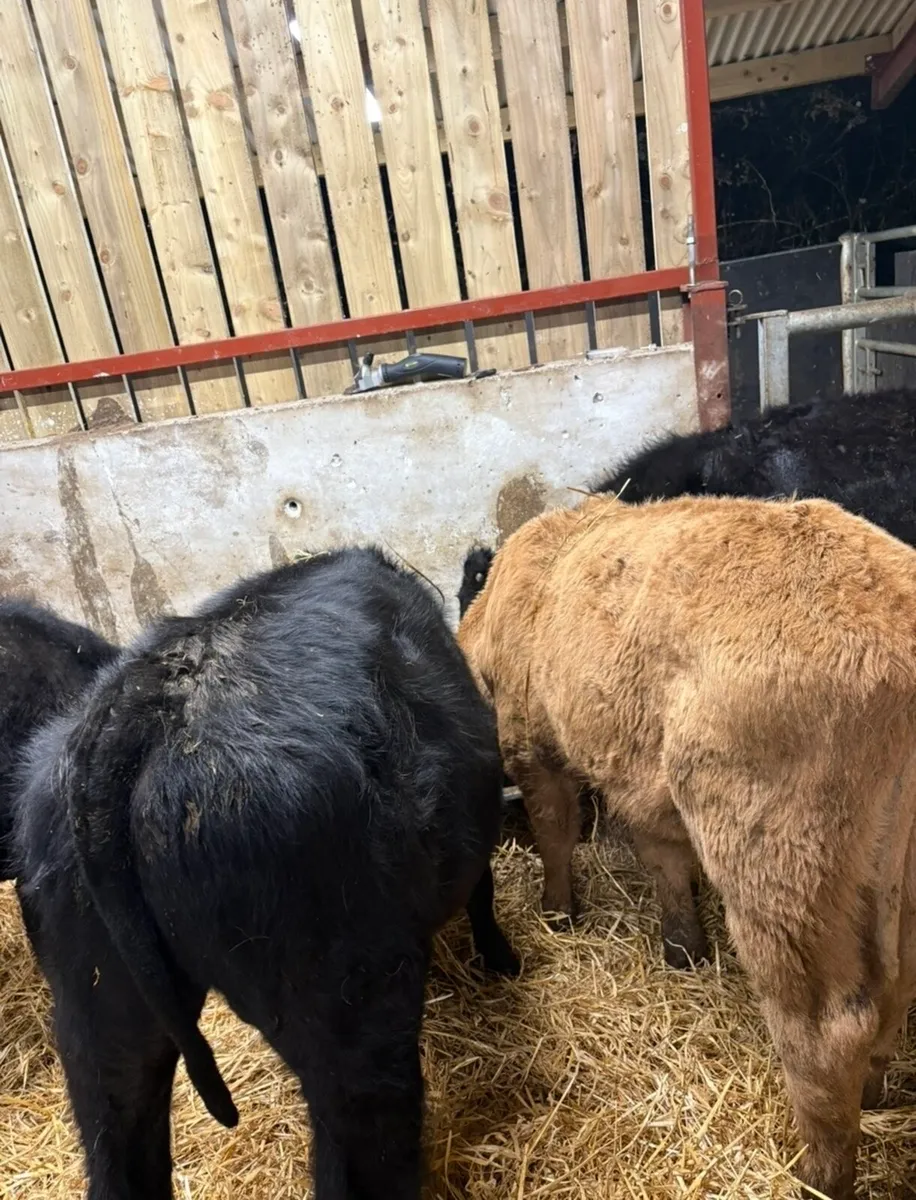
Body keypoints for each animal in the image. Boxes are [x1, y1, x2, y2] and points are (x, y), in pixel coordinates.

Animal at [14, 548, 519, 1200]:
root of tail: (138, 703)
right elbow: (483, 888)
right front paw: (503, 959)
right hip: (346, 1001)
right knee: (361, 1147)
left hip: (94, 999)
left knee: (117, 1143)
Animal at [457, 491, 916, 1200]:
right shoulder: (643, 776)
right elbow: (664, 858)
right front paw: (682, 948)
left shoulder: (530, 740)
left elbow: (555, 829)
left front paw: (558, 911)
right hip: (897, 866)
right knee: (899, 984)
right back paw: (873, 1092)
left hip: (780, 860)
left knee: (826, 1031)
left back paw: (817, 1173)